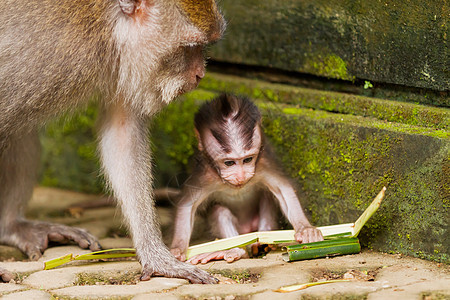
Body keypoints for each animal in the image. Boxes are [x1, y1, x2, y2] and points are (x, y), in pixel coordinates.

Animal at [0, 0, 225, 284]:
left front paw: (158, 257)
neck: (105, 27)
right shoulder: (36, 62)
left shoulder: (124, 65)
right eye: (190, 47)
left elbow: (122, 134)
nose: (200, 75)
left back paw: (11, 226)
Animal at [170, 94, 324, 264]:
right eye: (229, 163)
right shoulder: (205, 174)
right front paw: (177, 249)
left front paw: (306, 229)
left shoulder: (262, 165)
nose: (241, 176)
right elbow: (187, 205)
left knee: (267, 198)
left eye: (248, 160)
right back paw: (236, 251)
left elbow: (283, 189)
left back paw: (263, 241)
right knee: (219, 211)